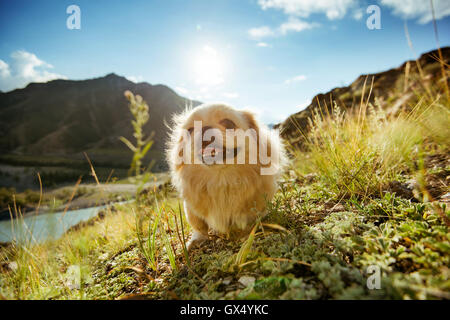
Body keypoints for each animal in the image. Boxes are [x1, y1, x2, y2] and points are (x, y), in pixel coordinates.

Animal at [167, 104, 286, 249]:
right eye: (190, 130)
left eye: (229, 123)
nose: (204, 128)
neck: (221, 179)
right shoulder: (191, 209)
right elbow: (199, 226)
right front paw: (197, 239)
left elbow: (249, 221)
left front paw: (245, 235)